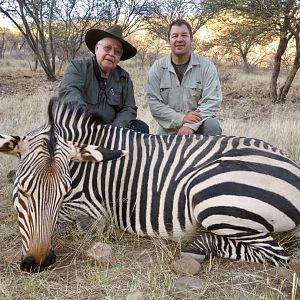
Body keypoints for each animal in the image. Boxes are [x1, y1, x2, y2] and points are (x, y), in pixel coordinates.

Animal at [0, 96, 298, 272]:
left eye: (62, 193)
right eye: (22, 192)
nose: (38, 263)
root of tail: (292, 164)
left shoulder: (94, 213)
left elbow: (68, 224)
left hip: (210, 194)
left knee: (277, 254)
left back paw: (198, 246)